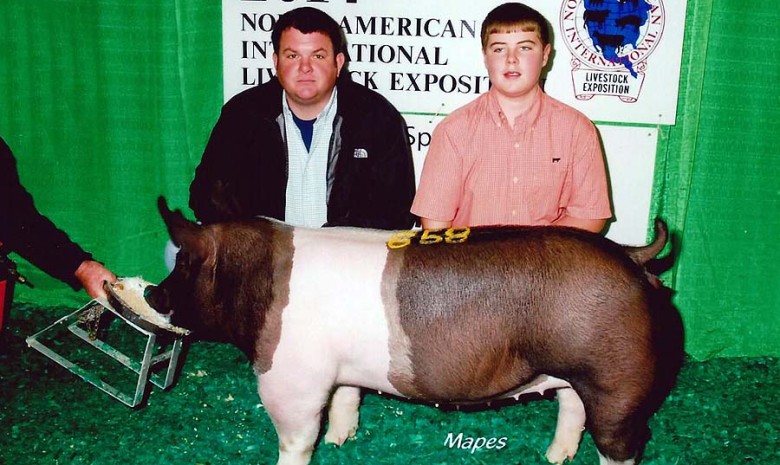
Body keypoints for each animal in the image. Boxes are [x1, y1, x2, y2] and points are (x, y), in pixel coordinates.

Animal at [145, 198, 672, 464]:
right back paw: (554, 457)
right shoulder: (340, 369)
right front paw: (340, 441)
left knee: (621, 442)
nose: (152, 293)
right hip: (576, 370)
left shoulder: (290, 380)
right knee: (571, 406)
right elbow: (347, 398)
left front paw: (310, 449)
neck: (255, 282)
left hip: (618, 378)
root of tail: (631, 253)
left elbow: (295, 439)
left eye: (184, 263)